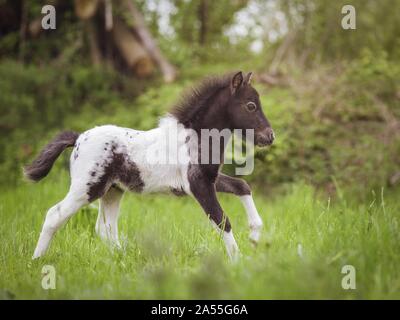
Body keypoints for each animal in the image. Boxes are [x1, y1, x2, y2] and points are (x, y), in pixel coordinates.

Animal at [25, 71, 276, 262]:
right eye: (251, 105)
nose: (270, 136)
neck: (194, 138)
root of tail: (77, 139)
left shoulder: (210, 179)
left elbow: (242, 185)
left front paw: (254, 237)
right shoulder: (198, 185)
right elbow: (222, 220)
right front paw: (237, 262)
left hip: (112, 191)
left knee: (105, 228)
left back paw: (124, 259)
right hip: (86, 188)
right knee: (54, 215)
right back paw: (36, 261)